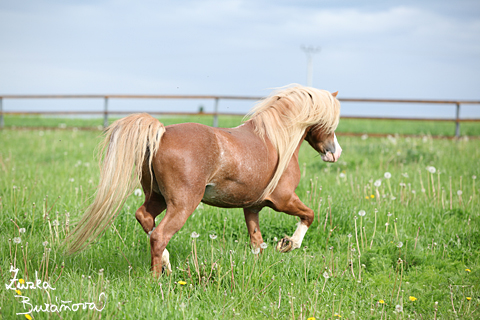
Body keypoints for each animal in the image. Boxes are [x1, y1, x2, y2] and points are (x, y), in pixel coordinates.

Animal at [66, 84, 342, 276]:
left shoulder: (252, 207)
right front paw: (288, 244)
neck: (275, 141)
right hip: (183, 203)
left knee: (145, 218)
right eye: (330, 122)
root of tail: (161, 133)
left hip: (158, 197)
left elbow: (256, 242)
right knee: (159, 235)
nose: (335, 153)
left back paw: (166, 264)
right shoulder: (283, 199)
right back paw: (157, 278)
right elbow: (309, 215)